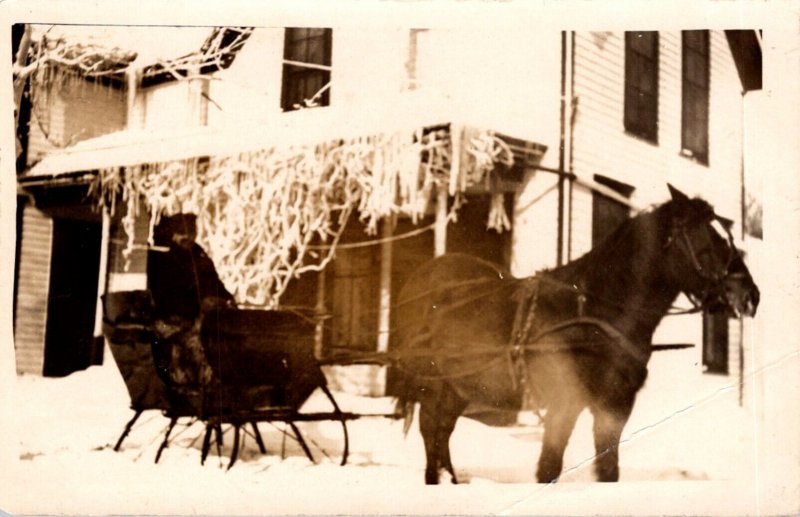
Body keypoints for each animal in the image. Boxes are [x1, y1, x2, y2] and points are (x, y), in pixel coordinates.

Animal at [396, 185, 760, 484]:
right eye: (711, 240)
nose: (751, 295)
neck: (595, 313)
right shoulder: (564, 403)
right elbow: (549, 468)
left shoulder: (614, 407)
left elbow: (608, 469)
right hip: (432, 384)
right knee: (431, 433)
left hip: (459, 387)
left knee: (443, 433)